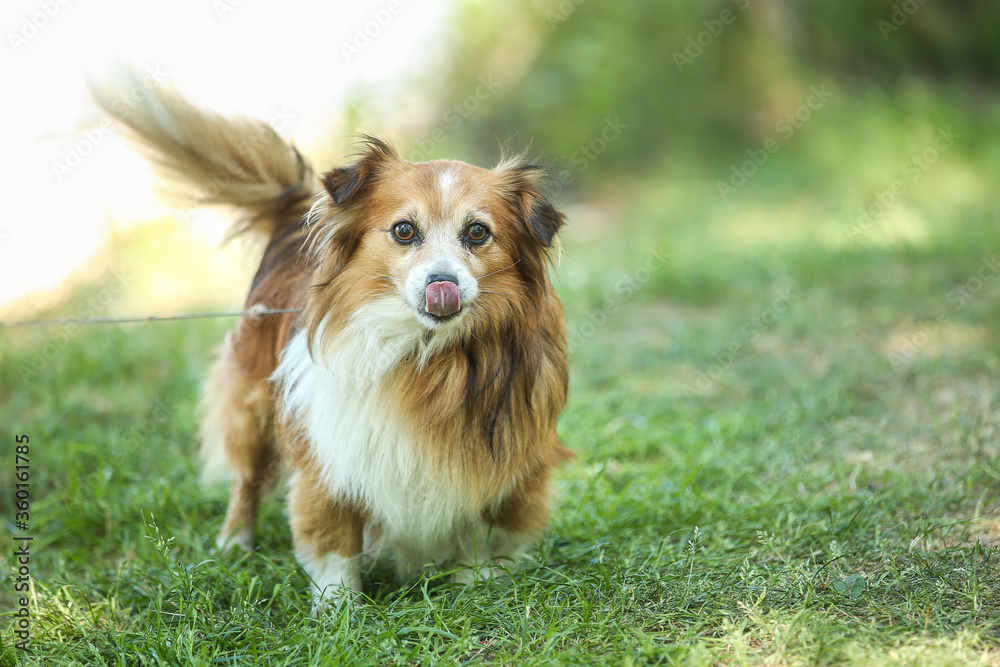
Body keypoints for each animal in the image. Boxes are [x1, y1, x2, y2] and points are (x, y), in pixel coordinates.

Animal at [94, 75, 572, 608]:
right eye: (404, 230)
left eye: (477, 232)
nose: (441, 283)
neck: (428, 355)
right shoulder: (328, 455)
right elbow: (335, 543)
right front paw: (340, 609)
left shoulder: (509, 461)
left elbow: (484, 535)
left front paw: (479, 589)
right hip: (252, 407)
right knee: (246, 480)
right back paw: (234, 543)